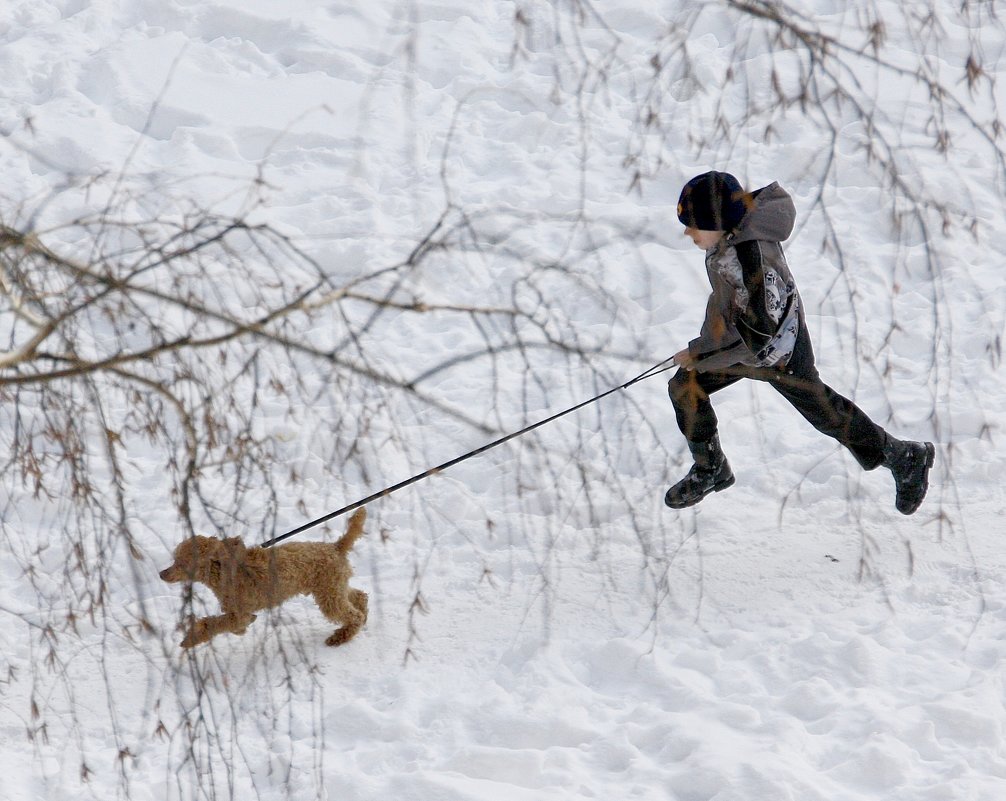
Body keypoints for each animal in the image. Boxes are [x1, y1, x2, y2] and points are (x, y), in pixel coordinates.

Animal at [159, 509, 370, 648]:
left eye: (180, 563)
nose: (162, 574)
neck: (223, 570)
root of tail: (336, 547)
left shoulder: (238, 613)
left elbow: (213, 624)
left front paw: (190, 639)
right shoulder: (237, 613)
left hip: (328, 595)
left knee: (353, 615)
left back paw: (341, 636)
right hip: (333, 587)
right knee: (360, 596)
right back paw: (363, 616)